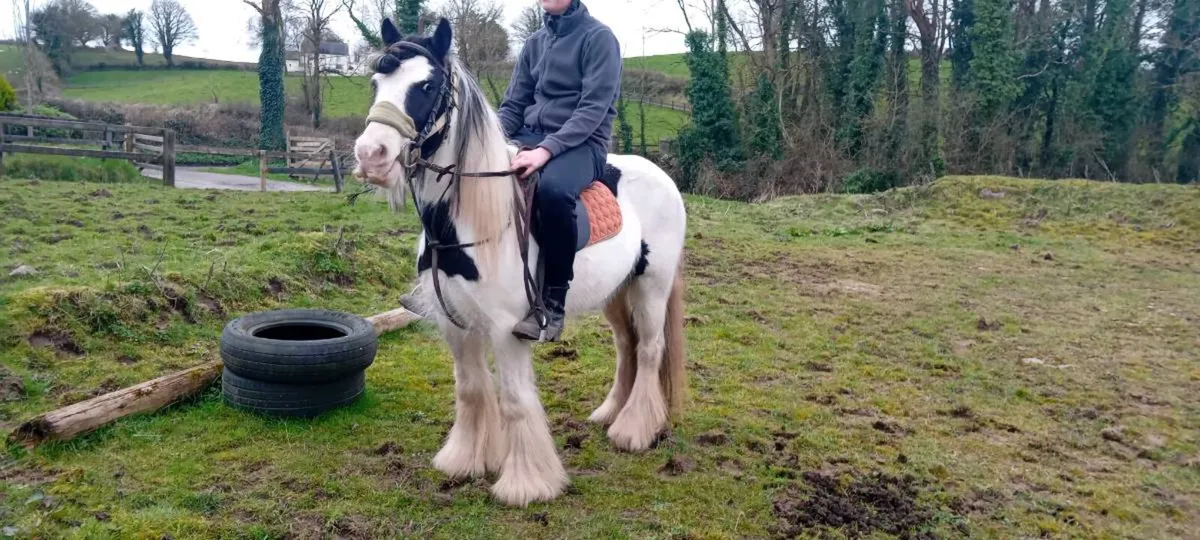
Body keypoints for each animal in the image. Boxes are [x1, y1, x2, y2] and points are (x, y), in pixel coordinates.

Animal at [352, 17, 688, 507]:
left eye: (427, 85)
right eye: (376, 82)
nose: (370, 156)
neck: (468, 220)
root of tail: (663, 176)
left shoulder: (507, 329)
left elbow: (512, 400)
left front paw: (526, 483)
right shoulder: (455, 323)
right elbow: (471, 390)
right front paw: (464, 460)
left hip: (652, 286)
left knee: (648, 349)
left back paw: (632, 431)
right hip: (615, 290)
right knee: (626, 346)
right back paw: (609, 412)